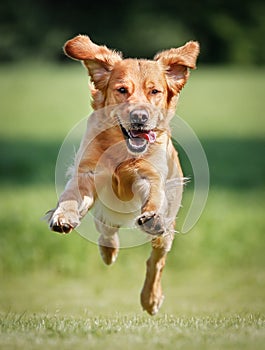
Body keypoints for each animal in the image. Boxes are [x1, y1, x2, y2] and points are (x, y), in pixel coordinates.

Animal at [46, 34, 198, 314]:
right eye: (122, 90)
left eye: (154, 91)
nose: (139, 117)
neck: (121, 149)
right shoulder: (87, 173)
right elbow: (70, 196)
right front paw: (63, 216)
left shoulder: (149, 176)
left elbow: (153, 195)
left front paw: (151, 216)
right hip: (104, 213)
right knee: (106, 231)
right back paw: (109, 252)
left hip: (167, 230)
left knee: (156, 261)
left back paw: (150, 298)